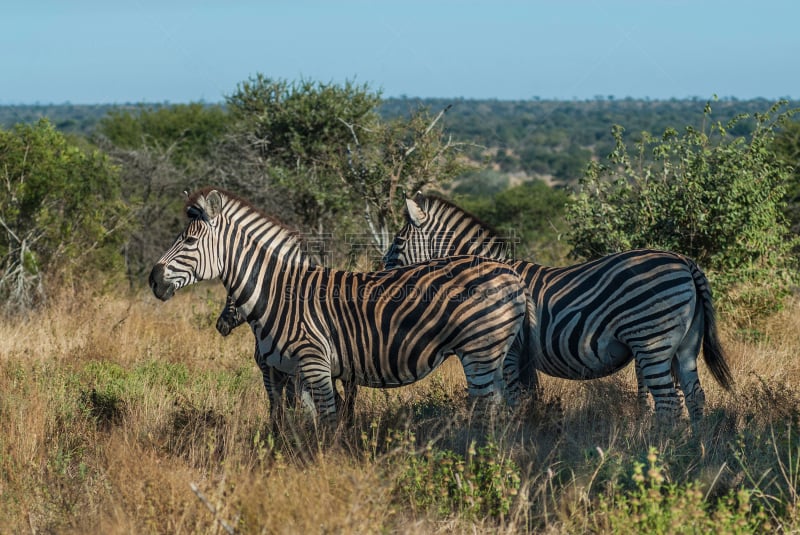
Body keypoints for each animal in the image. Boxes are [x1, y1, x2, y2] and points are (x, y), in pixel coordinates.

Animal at [148, 186, 532, 426]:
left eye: (190, 241)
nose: (153, 278)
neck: (278, 292)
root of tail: (510, 272)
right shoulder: (297, 373)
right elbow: (303, 425)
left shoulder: (314, 365)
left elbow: (328, 427)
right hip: (493, 356)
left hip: (480, 350)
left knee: (489, 415)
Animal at [384, 193, 736, 422]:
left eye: (397, 242)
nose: (383, 272)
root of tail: (685, 261)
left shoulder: (511, 353)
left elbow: (514, 400)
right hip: (685, 345)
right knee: (695, 397)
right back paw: (693, 453)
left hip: (652, 339)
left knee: (669, 403)